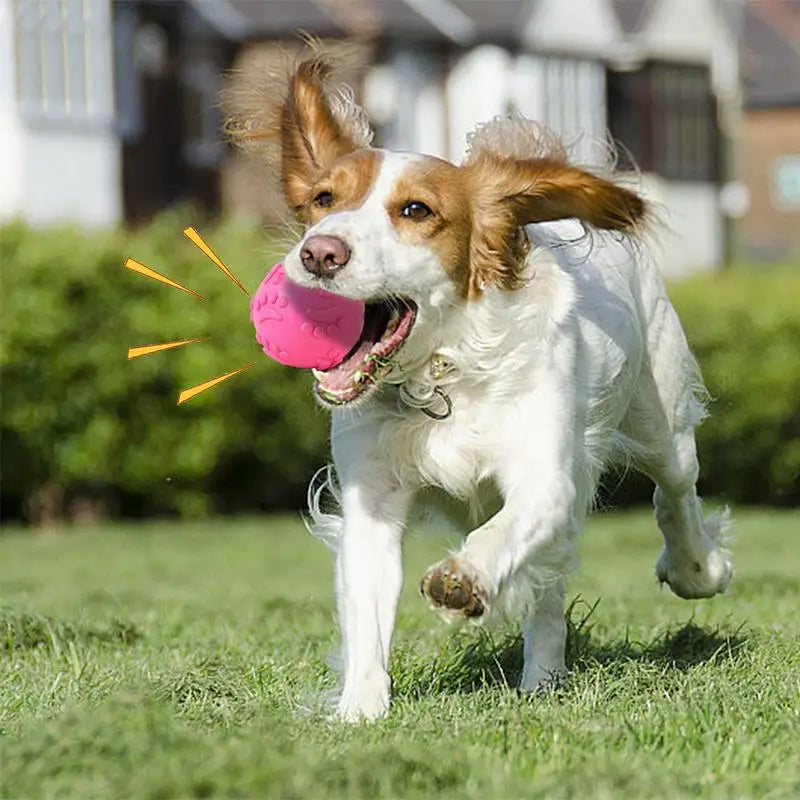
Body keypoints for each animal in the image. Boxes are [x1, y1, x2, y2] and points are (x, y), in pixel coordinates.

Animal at [225, 54, 732, 720]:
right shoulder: (373, 499)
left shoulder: (547, 478)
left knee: (676, 494)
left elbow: (500, 533)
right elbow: (368, 611)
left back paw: (697, 570)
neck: (443, 375)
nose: (319, 253)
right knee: (550, 585)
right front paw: (360, 709)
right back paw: (544, 676)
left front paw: (461, 580)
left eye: (416, 211)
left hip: (661, 420)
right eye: (323, 198)